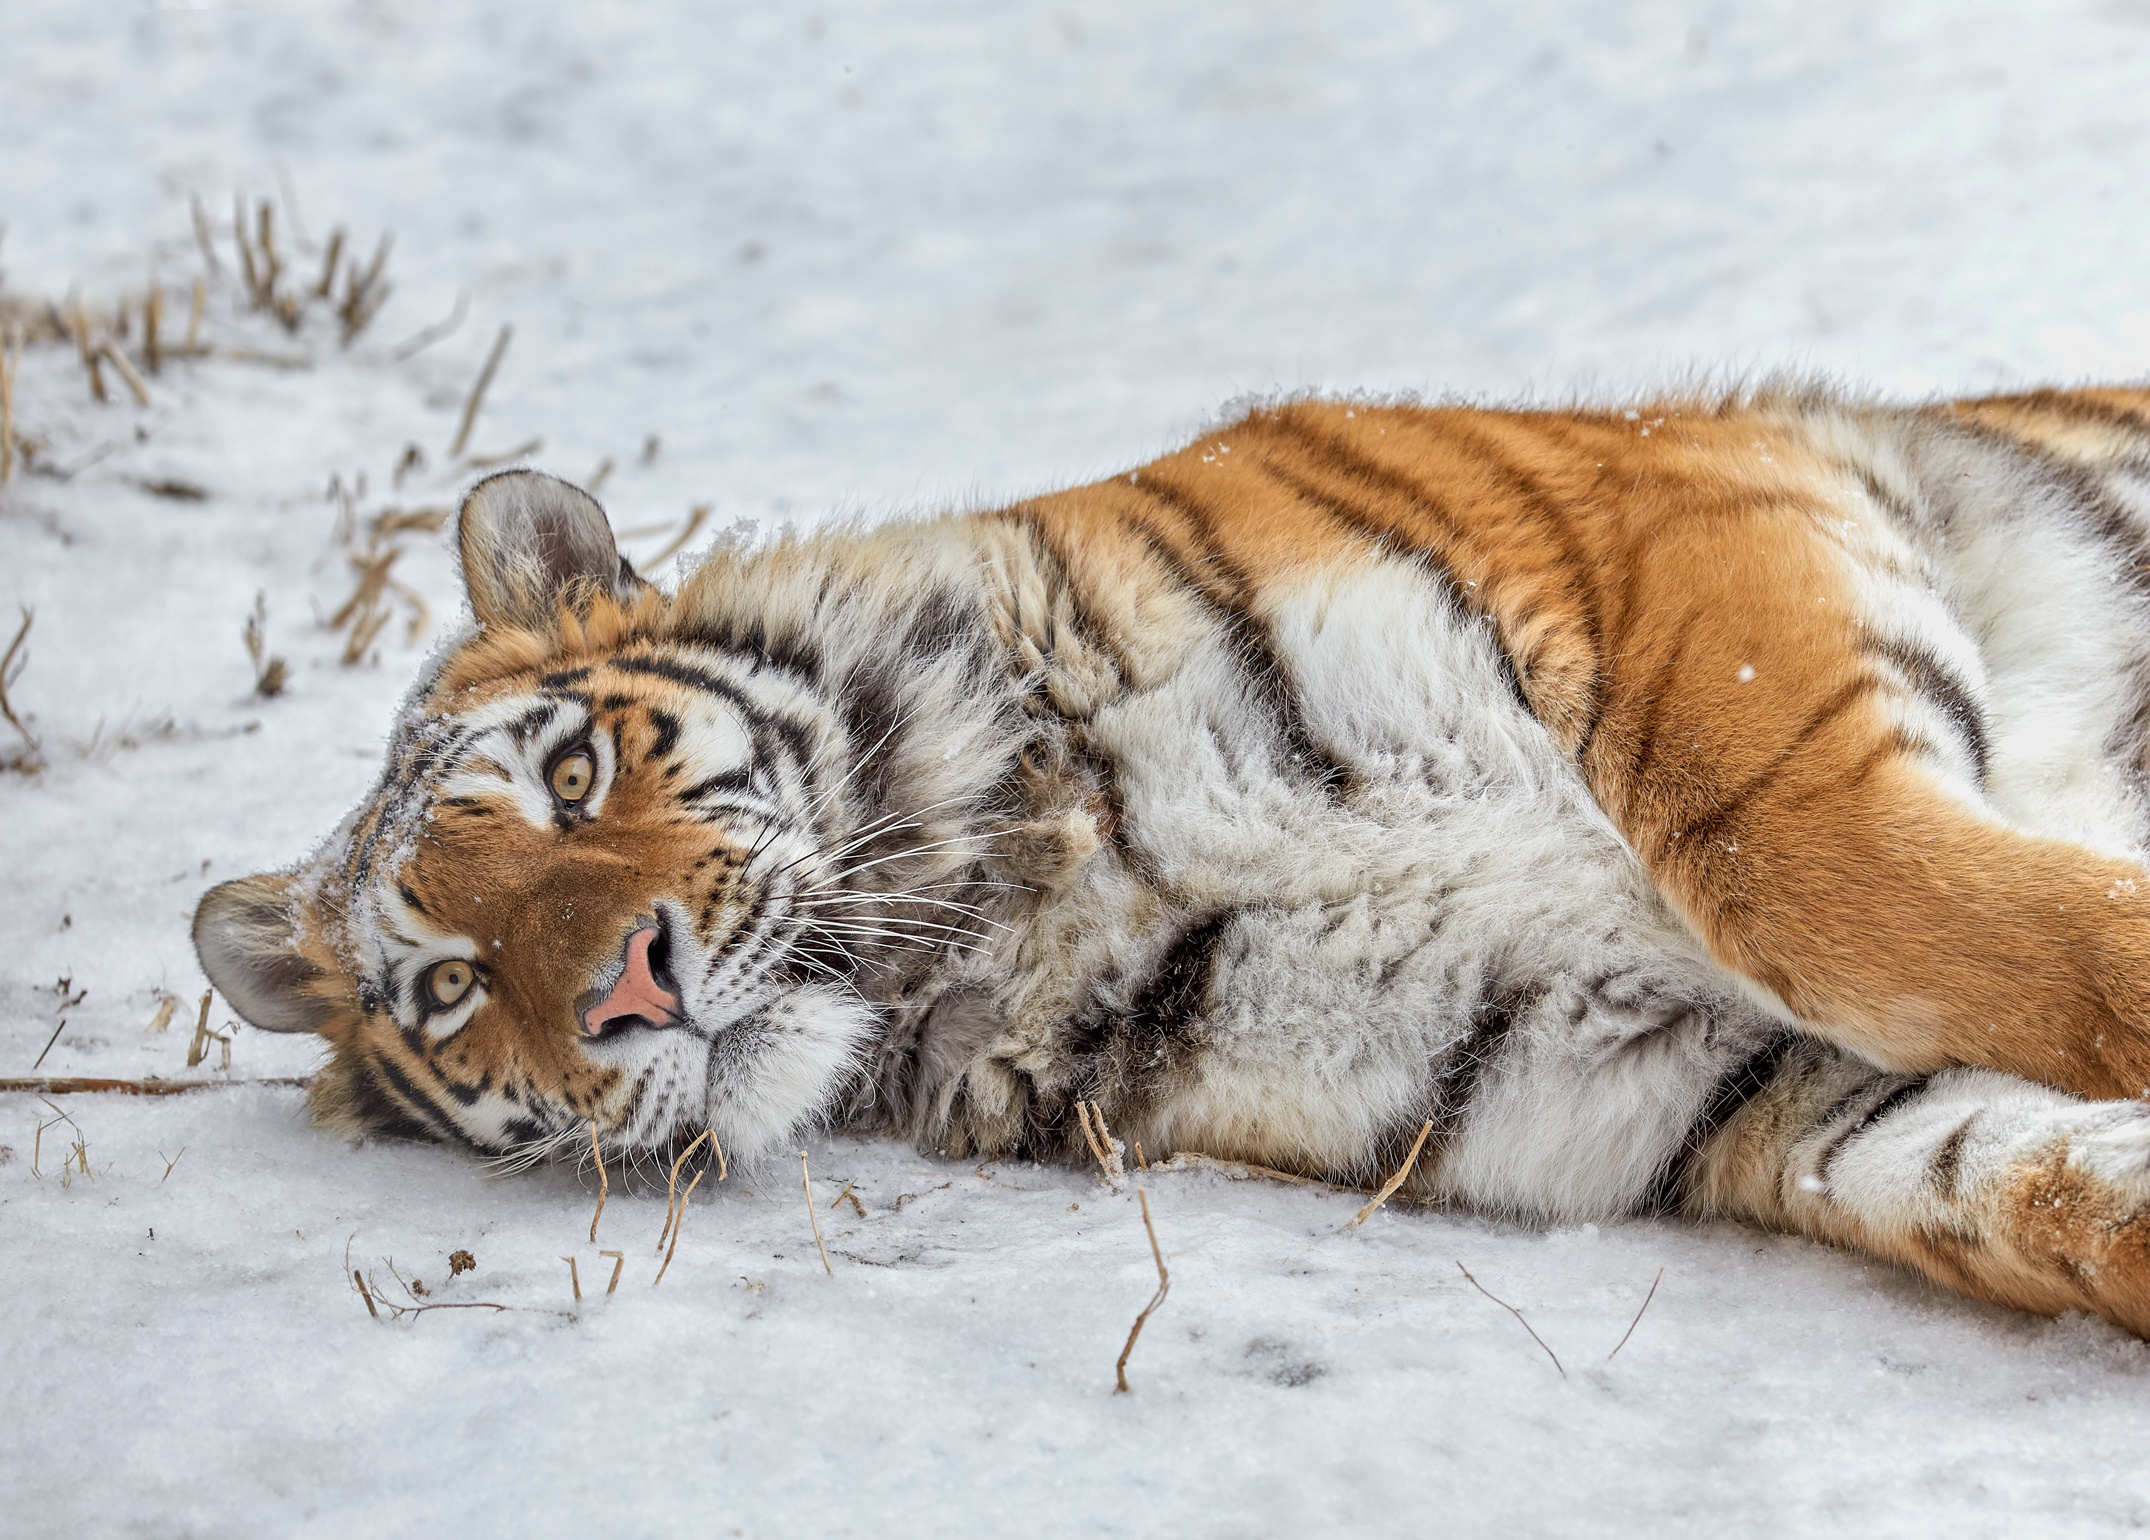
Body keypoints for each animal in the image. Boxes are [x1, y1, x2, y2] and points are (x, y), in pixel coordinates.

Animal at [197, 384, 2150, 1333]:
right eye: (454, 987)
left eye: (574, 774)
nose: (622, 990)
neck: (1014, 896)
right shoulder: (1690, 1071)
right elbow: (2011, 1170)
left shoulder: (1676, 540)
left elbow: (1821, 873)